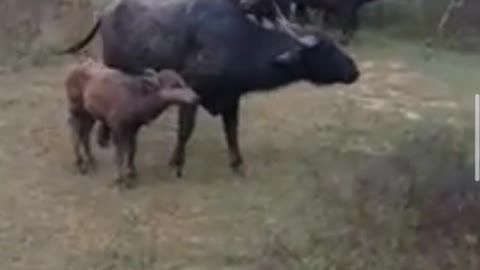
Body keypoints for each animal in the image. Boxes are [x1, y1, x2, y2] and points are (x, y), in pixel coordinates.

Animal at [65, 59, 197, 188]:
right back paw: (80, 163)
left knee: (85, 133)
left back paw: (91, 160)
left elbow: (132, 149)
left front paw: (132, 173)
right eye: (175, 85)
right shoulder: (117, 127)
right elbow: (120, 153)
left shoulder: (133, 129)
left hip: (90, 113)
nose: (196, 98)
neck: (136, 100)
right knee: (75, 131)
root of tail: (75, 69)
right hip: (76, 108)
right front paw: (119, 178)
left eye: (184, 82)